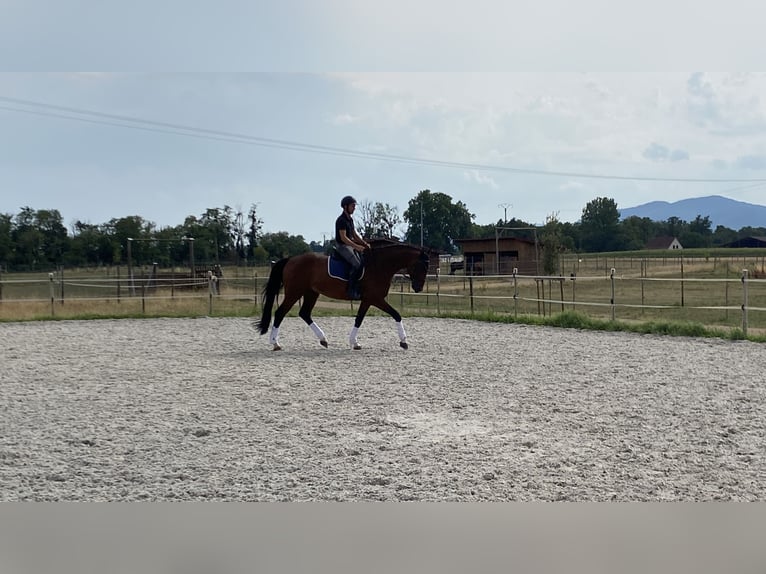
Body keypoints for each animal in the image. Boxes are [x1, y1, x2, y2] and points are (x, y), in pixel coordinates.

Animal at [255, 243, 430, 350]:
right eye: (422, 266)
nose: (418, 288)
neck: (380, 265)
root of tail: (291, 259)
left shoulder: (368, 300)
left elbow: (359, 319)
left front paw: (355, 343)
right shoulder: (375, 299)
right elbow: (396, 314)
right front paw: (404, 341)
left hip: (311, 293)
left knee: (304, 313)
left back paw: (323, 340)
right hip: (294, 292)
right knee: (280, 313)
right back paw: (275, 344)